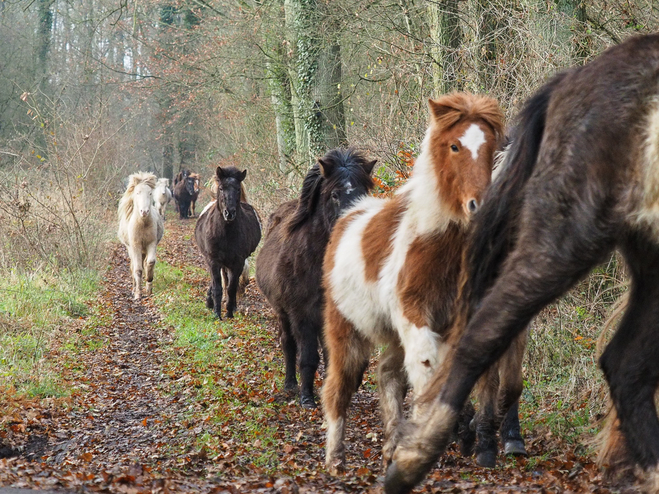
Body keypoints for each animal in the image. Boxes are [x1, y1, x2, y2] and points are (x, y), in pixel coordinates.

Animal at [116, 170, 163, 302]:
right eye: (137, 193)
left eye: (150, 193)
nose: (144, 212)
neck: (143, 224)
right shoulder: (135, 246)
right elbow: (137, 269)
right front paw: (137, 294)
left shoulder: (151, 243)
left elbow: (150, 263)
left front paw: (148, 287)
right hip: (131, 248)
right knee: (133, 266)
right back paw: (133, 289)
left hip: (143, 250)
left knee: (144, 263)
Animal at [195, 166, 262, 320]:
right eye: (221, 188)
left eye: (237, 189)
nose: (229, 213)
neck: (225, 233)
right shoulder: (213, 260)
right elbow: (218, 287)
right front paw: (217, 314)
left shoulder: (237, 262)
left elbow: (231, 287)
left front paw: (230, 313)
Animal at [254, 148, 374, 410]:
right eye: (335, 195)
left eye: (364, 193)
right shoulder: (302, 314)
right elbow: (308, 356)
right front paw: (307, 397)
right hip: (283, 313)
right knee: (288, 344)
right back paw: (290, 383)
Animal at [322, 91, 528, 474]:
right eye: (454, 146)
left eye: (491, 148)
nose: (479, 206)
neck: (439, 246)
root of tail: (349, 215)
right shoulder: (415, 314)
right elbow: (429, 373)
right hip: (346, 328)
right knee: (339, 386)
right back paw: (336, 457)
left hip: (391, 334)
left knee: (388, 376)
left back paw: (391, 445)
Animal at [384, 33, 659, 494]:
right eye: (452, 146)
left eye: (491, 149)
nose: (478, 205)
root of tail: (577, 75)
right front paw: (480, 439)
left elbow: (507, 379)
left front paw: (496, 437)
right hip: (569, 236)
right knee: (482, 335)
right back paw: (416, 455)